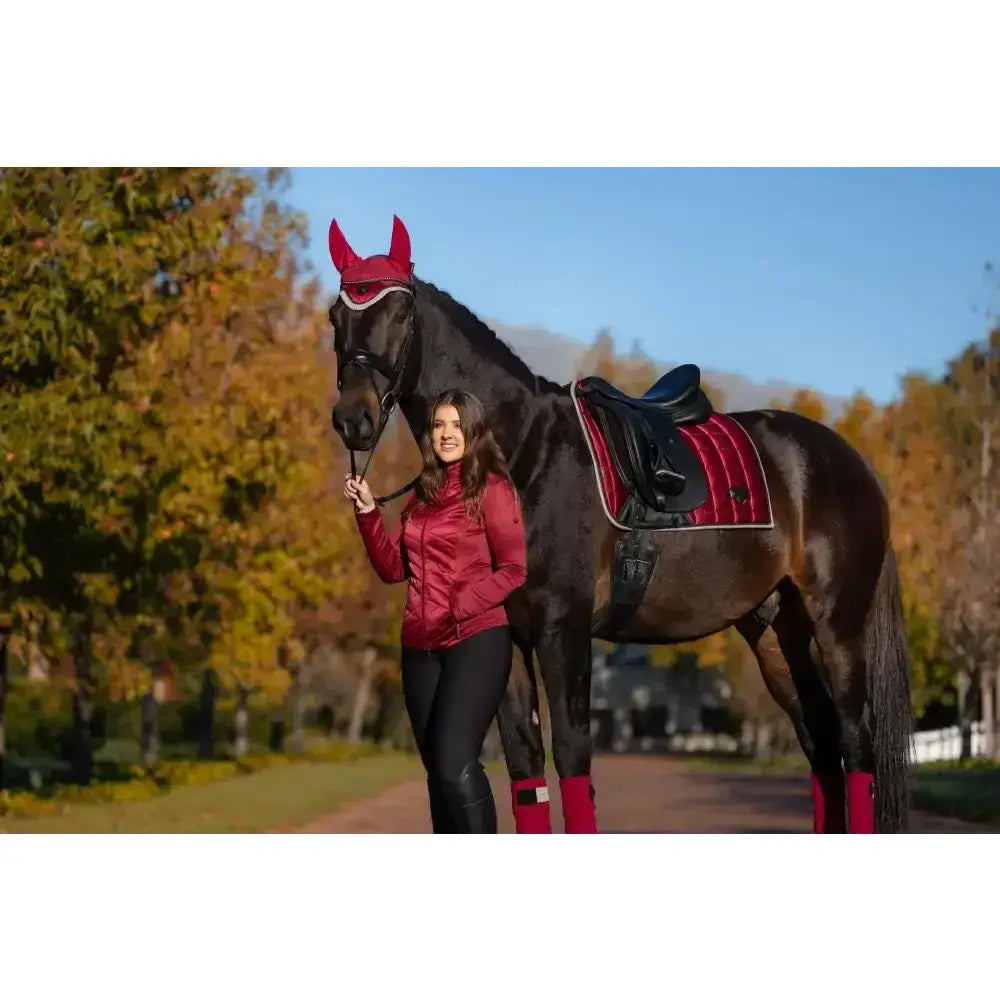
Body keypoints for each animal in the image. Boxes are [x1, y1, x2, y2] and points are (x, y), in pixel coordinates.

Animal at [327, 215, 913, 834]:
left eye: (399, 313)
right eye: (336, 317)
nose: (352, 418)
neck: (522, 451)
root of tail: (850, 461)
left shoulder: (563, 629)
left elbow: (574, 761)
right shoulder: (509, 639)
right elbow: (526, 770)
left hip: (838, 626)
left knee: (855, 745)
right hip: (777, 632)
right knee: (821, 743)